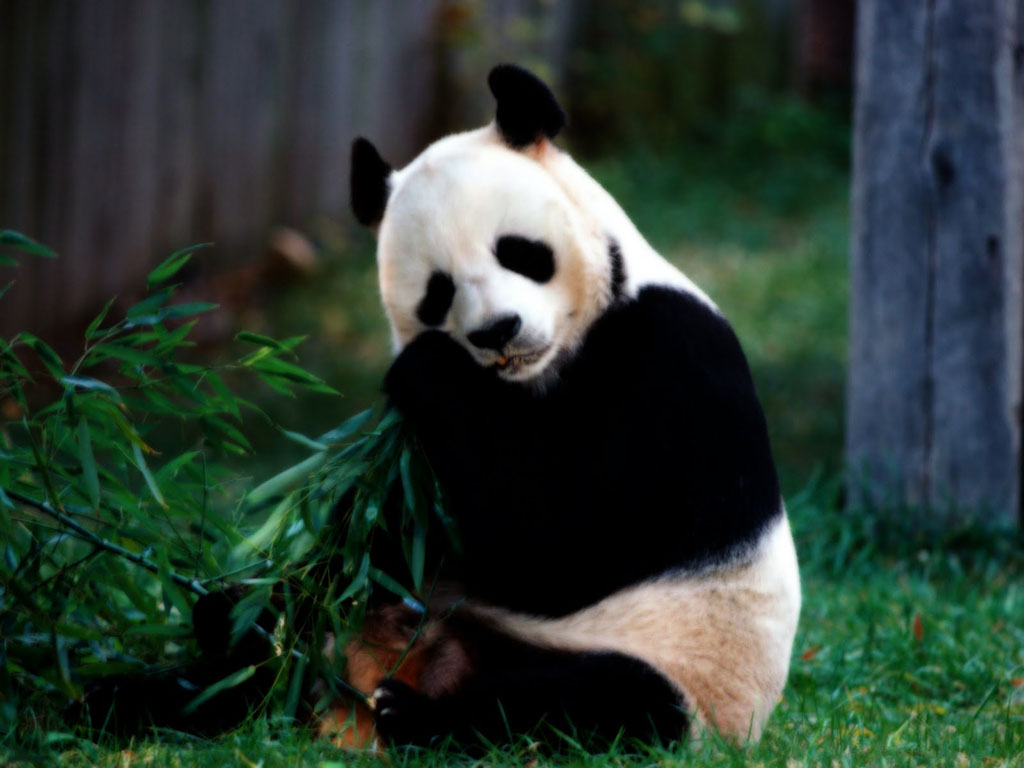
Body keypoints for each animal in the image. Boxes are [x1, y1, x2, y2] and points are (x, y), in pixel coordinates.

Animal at [324, 64, 802, 749]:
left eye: (519, 252)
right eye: (438, 292)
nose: (497, 331)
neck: (541, 372)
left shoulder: (668, 359)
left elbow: (556, 545)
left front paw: (426, 367)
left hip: (686, 674)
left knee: (592, 700)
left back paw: (413, 713)